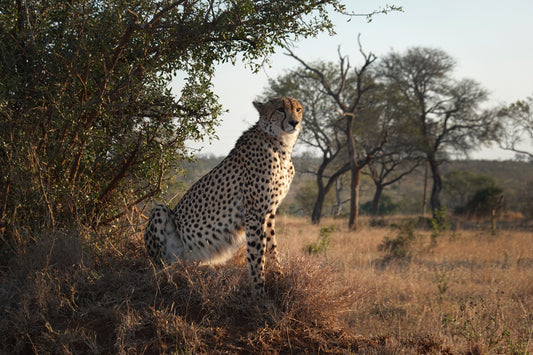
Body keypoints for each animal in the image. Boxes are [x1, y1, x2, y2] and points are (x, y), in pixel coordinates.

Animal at [145, 97, 302, 300]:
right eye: (280, 109)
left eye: (298, 109)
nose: (294, 122)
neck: (281, 144)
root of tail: (183, 262)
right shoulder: (255, 213)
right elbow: (256, 255)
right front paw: (259, 295)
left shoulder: (269, 212)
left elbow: (272, 248)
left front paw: (279, 277)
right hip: (161, 212)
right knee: (159, 265)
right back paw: (167, 276)